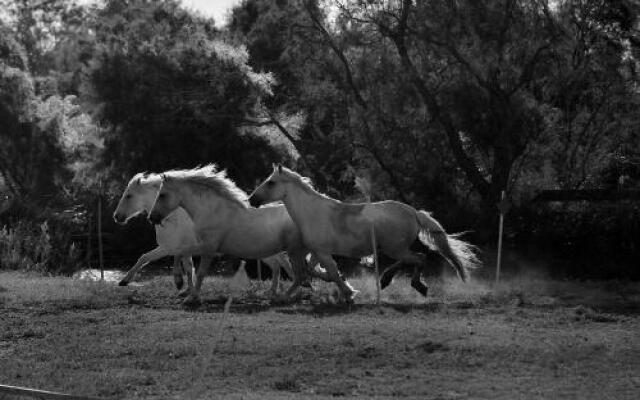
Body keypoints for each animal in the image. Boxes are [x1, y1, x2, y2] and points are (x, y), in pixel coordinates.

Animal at [112, 172, 296, 300]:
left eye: (129, 195)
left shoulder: (170, 247)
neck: (176, 218)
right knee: (278, 265)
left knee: (283, 264)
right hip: (264, 251)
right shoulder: (181, 248)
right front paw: (186, 289)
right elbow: (188, 266)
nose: (116, 216)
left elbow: (145, 257)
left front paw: (125, 281)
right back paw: (276, 290)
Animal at [148, 166, 352, 304]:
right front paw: (180, 284)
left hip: (296, 251)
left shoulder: (209, 249)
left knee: (303, 273)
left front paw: (191, 297)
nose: (152, 218)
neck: (213, 211)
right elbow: (180, 253)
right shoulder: (202, 246)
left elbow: (200, 272)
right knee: (309, 270)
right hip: (300, 251)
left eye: (162, 195)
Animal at [250, 164, 480, 298]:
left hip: (395, 248)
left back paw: (416, 285)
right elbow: (315, 271)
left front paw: (348, 293)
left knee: (419, 258)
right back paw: (386, 280)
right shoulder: (317, 252)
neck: (313, 213)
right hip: (393, 248)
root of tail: (414, 212)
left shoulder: (323, 252)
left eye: (271, 182)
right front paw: (341, 284)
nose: (252, 200)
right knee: (412, 259)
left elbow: (329, 271)